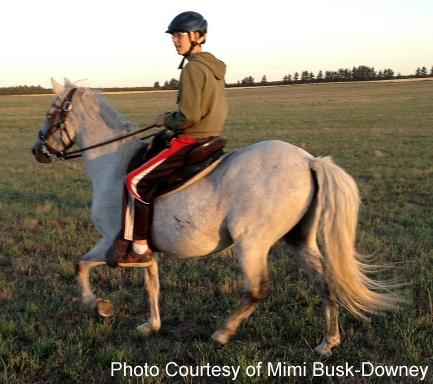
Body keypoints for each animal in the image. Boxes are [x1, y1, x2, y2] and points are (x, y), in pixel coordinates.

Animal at [32, 79, 400, 356]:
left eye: (51, 112)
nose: (38, 152)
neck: (114, 164)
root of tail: (310, 161)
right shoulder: (145, 249)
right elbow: (152, 285)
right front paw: (151, 326)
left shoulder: (111, 242)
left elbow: (80, 265)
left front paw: (98, 305)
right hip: (299, 239)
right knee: (322, 282)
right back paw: (328, 343)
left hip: (251, 244)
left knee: (258, 289)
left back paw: (222, 333)